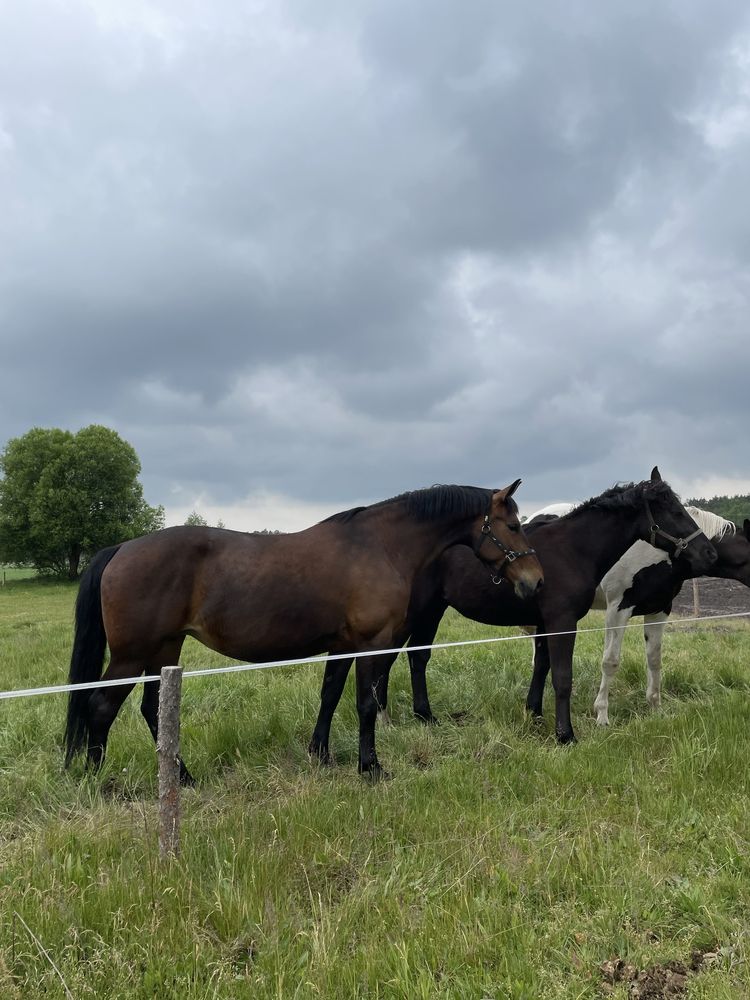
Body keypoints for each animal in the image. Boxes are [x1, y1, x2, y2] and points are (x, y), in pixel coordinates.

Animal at [64, 478, 544, 780]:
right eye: (514, 525)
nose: (536, 581)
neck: (380, 546)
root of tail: (121, 548)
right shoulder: (370, 645)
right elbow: (365, 705)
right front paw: (371, 768)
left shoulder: (342, 646)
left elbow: (329, 696)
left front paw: (321, 755)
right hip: (132, 655)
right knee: (100, 706)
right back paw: (99, 780)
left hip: (165, 650)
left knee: (153, 710)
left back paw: (182, 777)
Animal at [344, 468, 720, 744]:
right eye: (673, 510)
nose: (709, 553)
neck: (573, 550)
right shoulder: (562, 621)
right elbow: (562, 677)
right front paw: (565, 735)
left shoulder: (545, 622)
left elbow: (542, 667)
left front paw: (535, 716)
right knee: (389, 661)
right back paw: (386, 718)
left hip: (432, 612)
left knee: (416, 657)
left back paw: (424, 717)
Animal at [528, 504, 750, 724]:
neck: (660, 554)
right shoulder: (617, 611)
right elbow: (610, 662)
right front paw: (602, 715)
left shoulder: (659, 611)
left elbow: (654, 659)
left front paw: (655, 708)